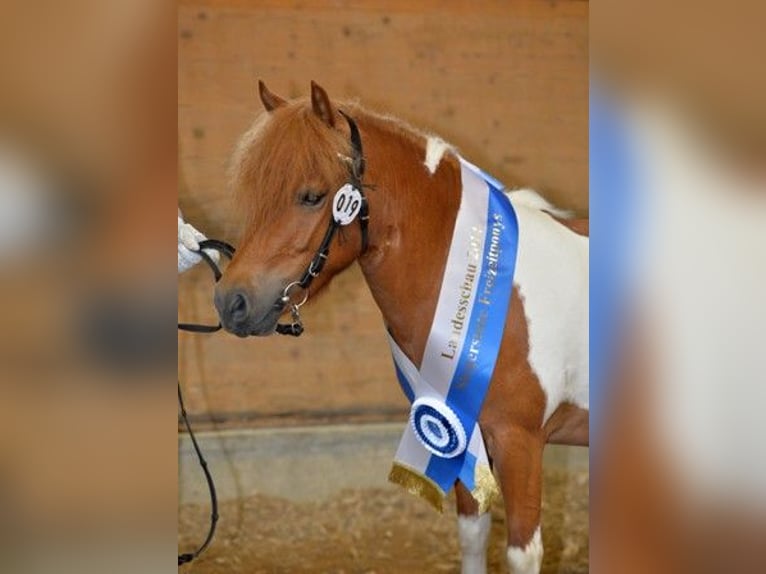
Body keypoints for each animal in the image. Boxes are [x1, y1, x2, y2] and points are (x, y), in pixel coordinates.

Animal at [216, 82, 592, 574]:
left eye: (312, 196)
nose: (230, 302)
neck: (488, 283)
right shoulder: (466, 441)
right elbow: (473, 537)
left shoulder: (521, 445)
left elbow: (521, 554)